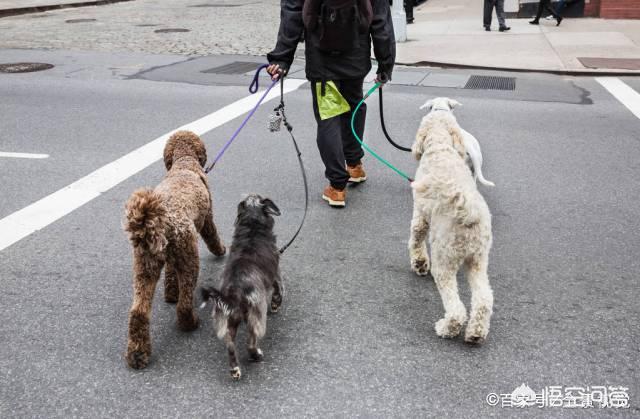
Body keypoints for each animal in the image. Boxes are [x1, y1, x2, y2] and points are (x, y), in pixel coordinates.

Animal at [199, 194, 282, 380]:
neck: (252, 226)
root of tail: (233, 293)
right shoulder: (276, 275)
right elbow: (278, 292)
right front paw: (276, 305)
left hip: (230, 322)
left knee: (231, 347)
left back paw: (235, 370)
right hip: (255, 316)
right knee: (250, 343)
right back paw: (256, 355)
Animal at [410, 97, 496, 344]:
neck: (441, 146)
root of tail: (469, 213)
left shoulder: (420, 215)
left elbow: (416, 239)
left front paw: (419, 263)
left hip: (445, 260)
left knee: (456, 308)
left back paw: (447, 327)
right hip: (478, 259)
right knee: (484, 299)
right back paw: (476, 333)